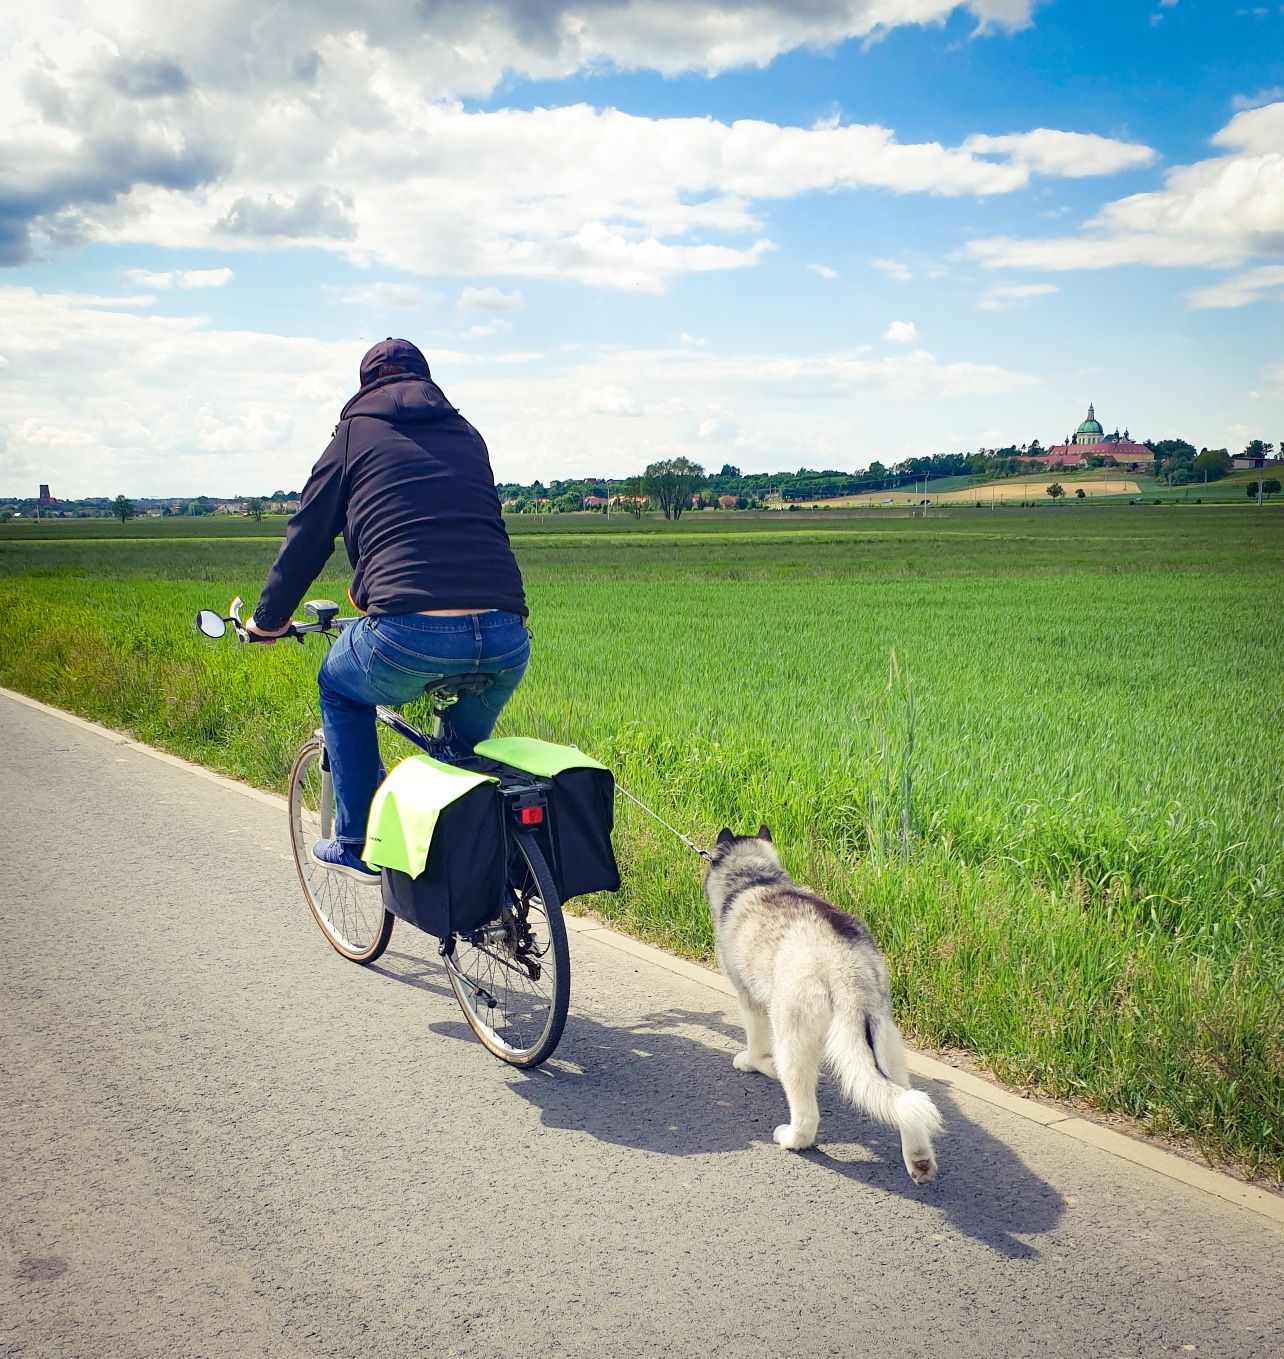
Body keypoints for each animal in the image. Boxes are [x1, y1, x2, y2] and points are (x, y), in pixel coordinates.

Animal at [701, 820, 940, 1185]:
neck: (755, 878)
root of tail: (847, 964)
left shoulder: (748, 998)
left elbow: (756, 1042)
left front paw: (752, 1062)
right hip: (884, 1039)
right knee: (905, 1101)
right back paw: (919, 1159)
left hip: (792, 1035)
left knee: (806, 1113)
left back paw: (792, 1139)